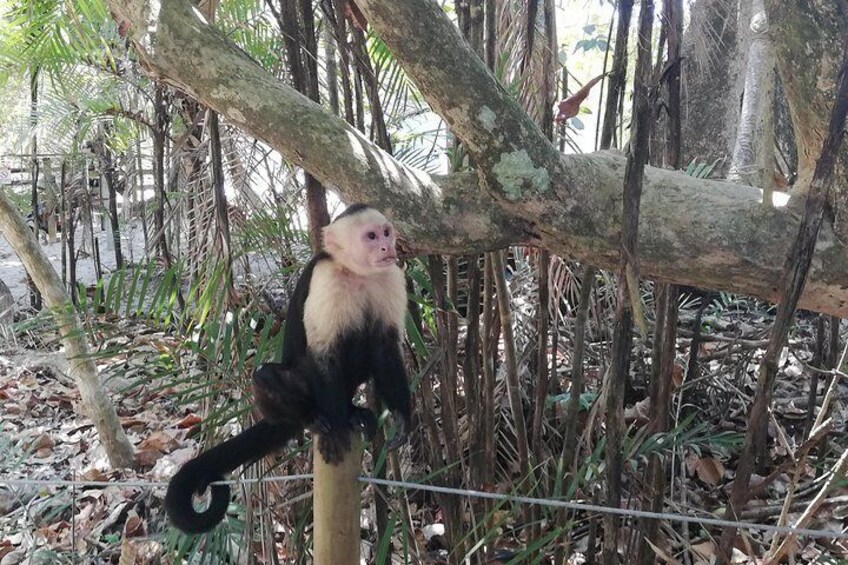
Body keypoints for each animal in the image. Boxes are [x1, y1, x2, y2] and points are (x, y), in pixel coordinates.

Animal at [164, 203, 412, 532]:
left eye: (385, 232)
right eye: (370, 236)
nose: (387, 246)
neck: (357, 274)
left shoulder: (390, 277)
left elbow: (385, 348)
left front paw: (402, 417)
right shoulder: (325, 279)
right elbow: (323, 353)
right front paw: (337, 428)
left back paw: (353, 411)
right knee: (266, 376)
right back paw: (314, 418)